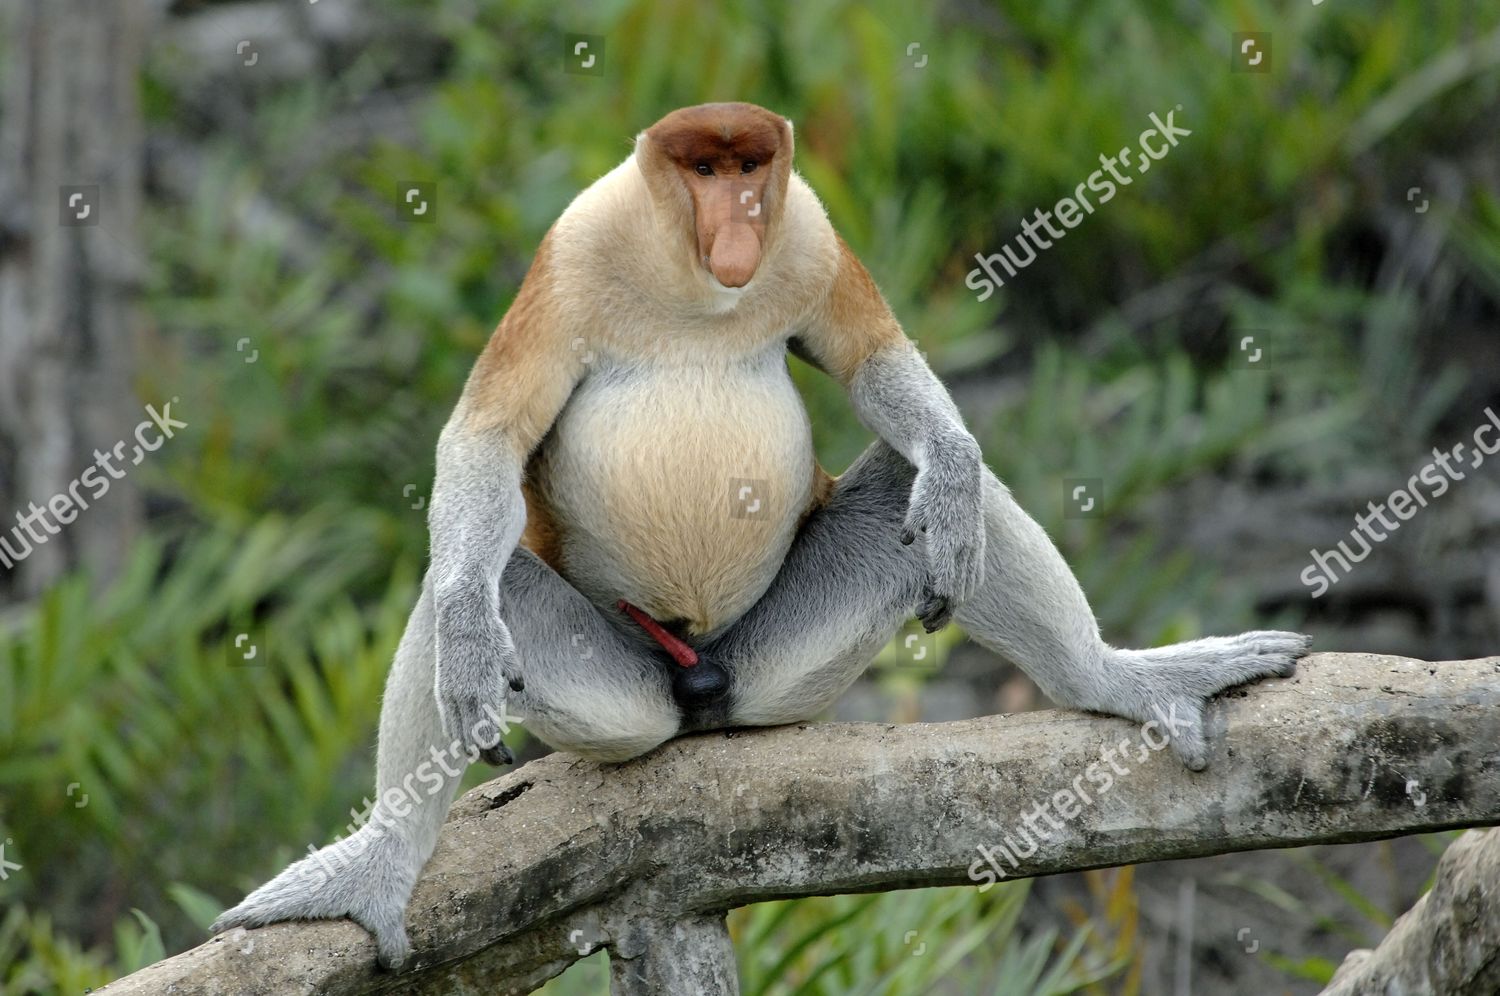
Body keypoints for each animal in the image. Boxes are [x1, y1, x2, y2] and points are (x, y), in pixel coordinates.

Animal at [212, 102, 1309, 969]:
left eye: (752, 172)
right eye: (704, 171)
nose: (738, 219)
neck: (694, 290)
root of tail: (698, 682)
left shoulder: (810, 232)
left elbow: (873, 362)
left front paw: (952, 474)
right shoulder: (571, 252)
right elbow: (487, 436)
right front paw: (470, 644)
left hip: (783, 662)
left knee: (909, 487)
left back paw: (1106, 673)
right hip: (614, 691)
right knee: (471, 585)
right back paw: (379, 863)